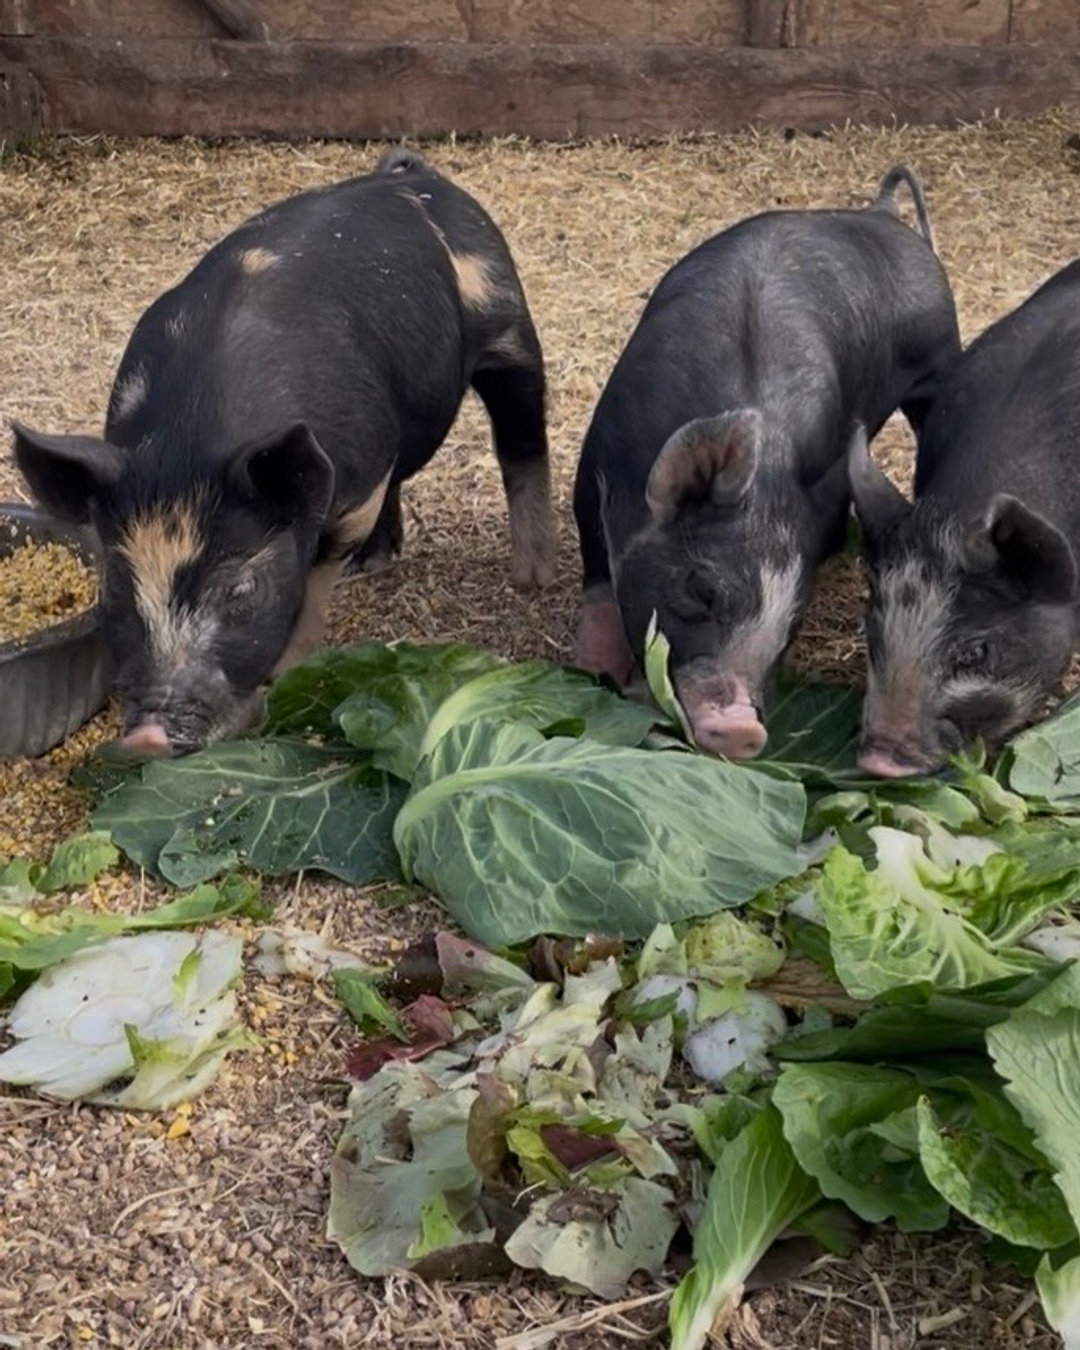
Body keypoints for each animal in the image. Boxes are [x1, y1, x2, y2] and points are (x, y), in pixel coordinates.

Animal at [12, 149, 553, 755]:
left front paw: (287, 672)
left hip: (507, 323)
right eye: (115, 590)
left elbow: (314, 582)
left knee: (523, 441)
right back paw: (376, 564)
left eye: (240, 590)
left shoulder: (357, 487)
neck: (189, 443)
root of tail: (410, 173)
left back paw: (533, 576)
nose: (147, 736)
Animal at [572, 166, 960, 758]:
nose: (743, 731)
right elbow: (595, 568)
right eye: (702, 590)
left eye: (790, 626)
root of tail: (883, 215)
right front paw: (596, 669)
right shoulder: (596, 458)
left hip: (940, 358)